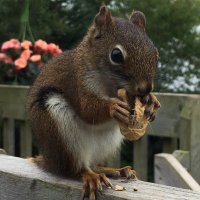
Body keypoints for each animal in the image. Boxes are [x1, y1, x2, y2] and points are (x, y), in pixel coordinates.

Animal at [27, 4, 161, 200]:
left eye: (155, 53)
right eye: (116, 55)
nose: (145, 89)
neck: (110, 84)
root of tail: (50, 161)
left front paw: (152, 102)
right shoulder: (76, 81)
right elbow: (87, 109)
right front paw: (113, 107)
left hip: (108, 142)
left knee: (94, 164)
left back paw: (115, 170)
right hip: (59, 132)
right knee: (73, 169)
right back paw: (89, 175)